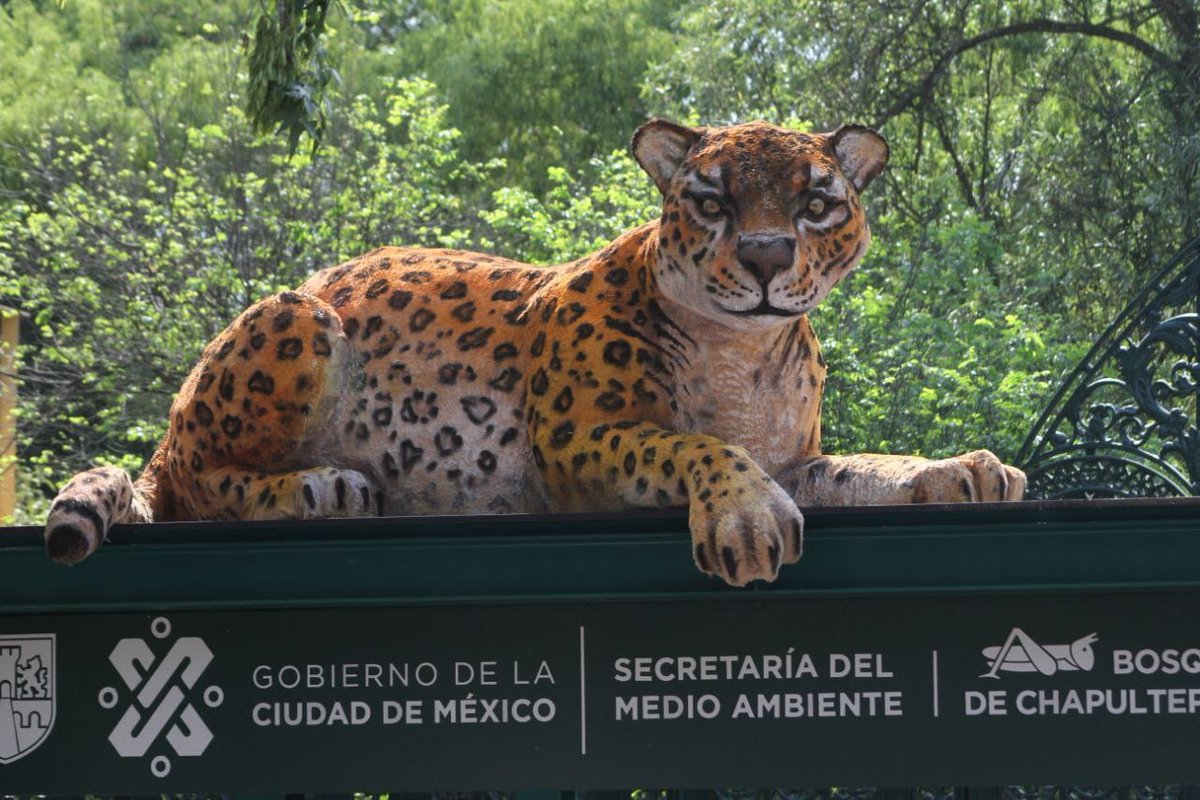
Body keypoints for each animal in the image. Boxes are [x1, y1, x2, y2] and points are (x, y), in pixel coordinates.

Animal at [44, 119, 1026, 586]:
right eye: (711, 200)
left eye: (816, 204)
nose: (763, 257)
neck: (739, 352)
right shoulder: (577, 439)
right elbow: (698, 444)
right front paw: (745, 521)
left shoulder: (800, 458)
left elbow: (863, 470)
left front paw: (964, 469)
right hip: (296, 320)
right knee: (193, 480)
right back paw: (319, 487)